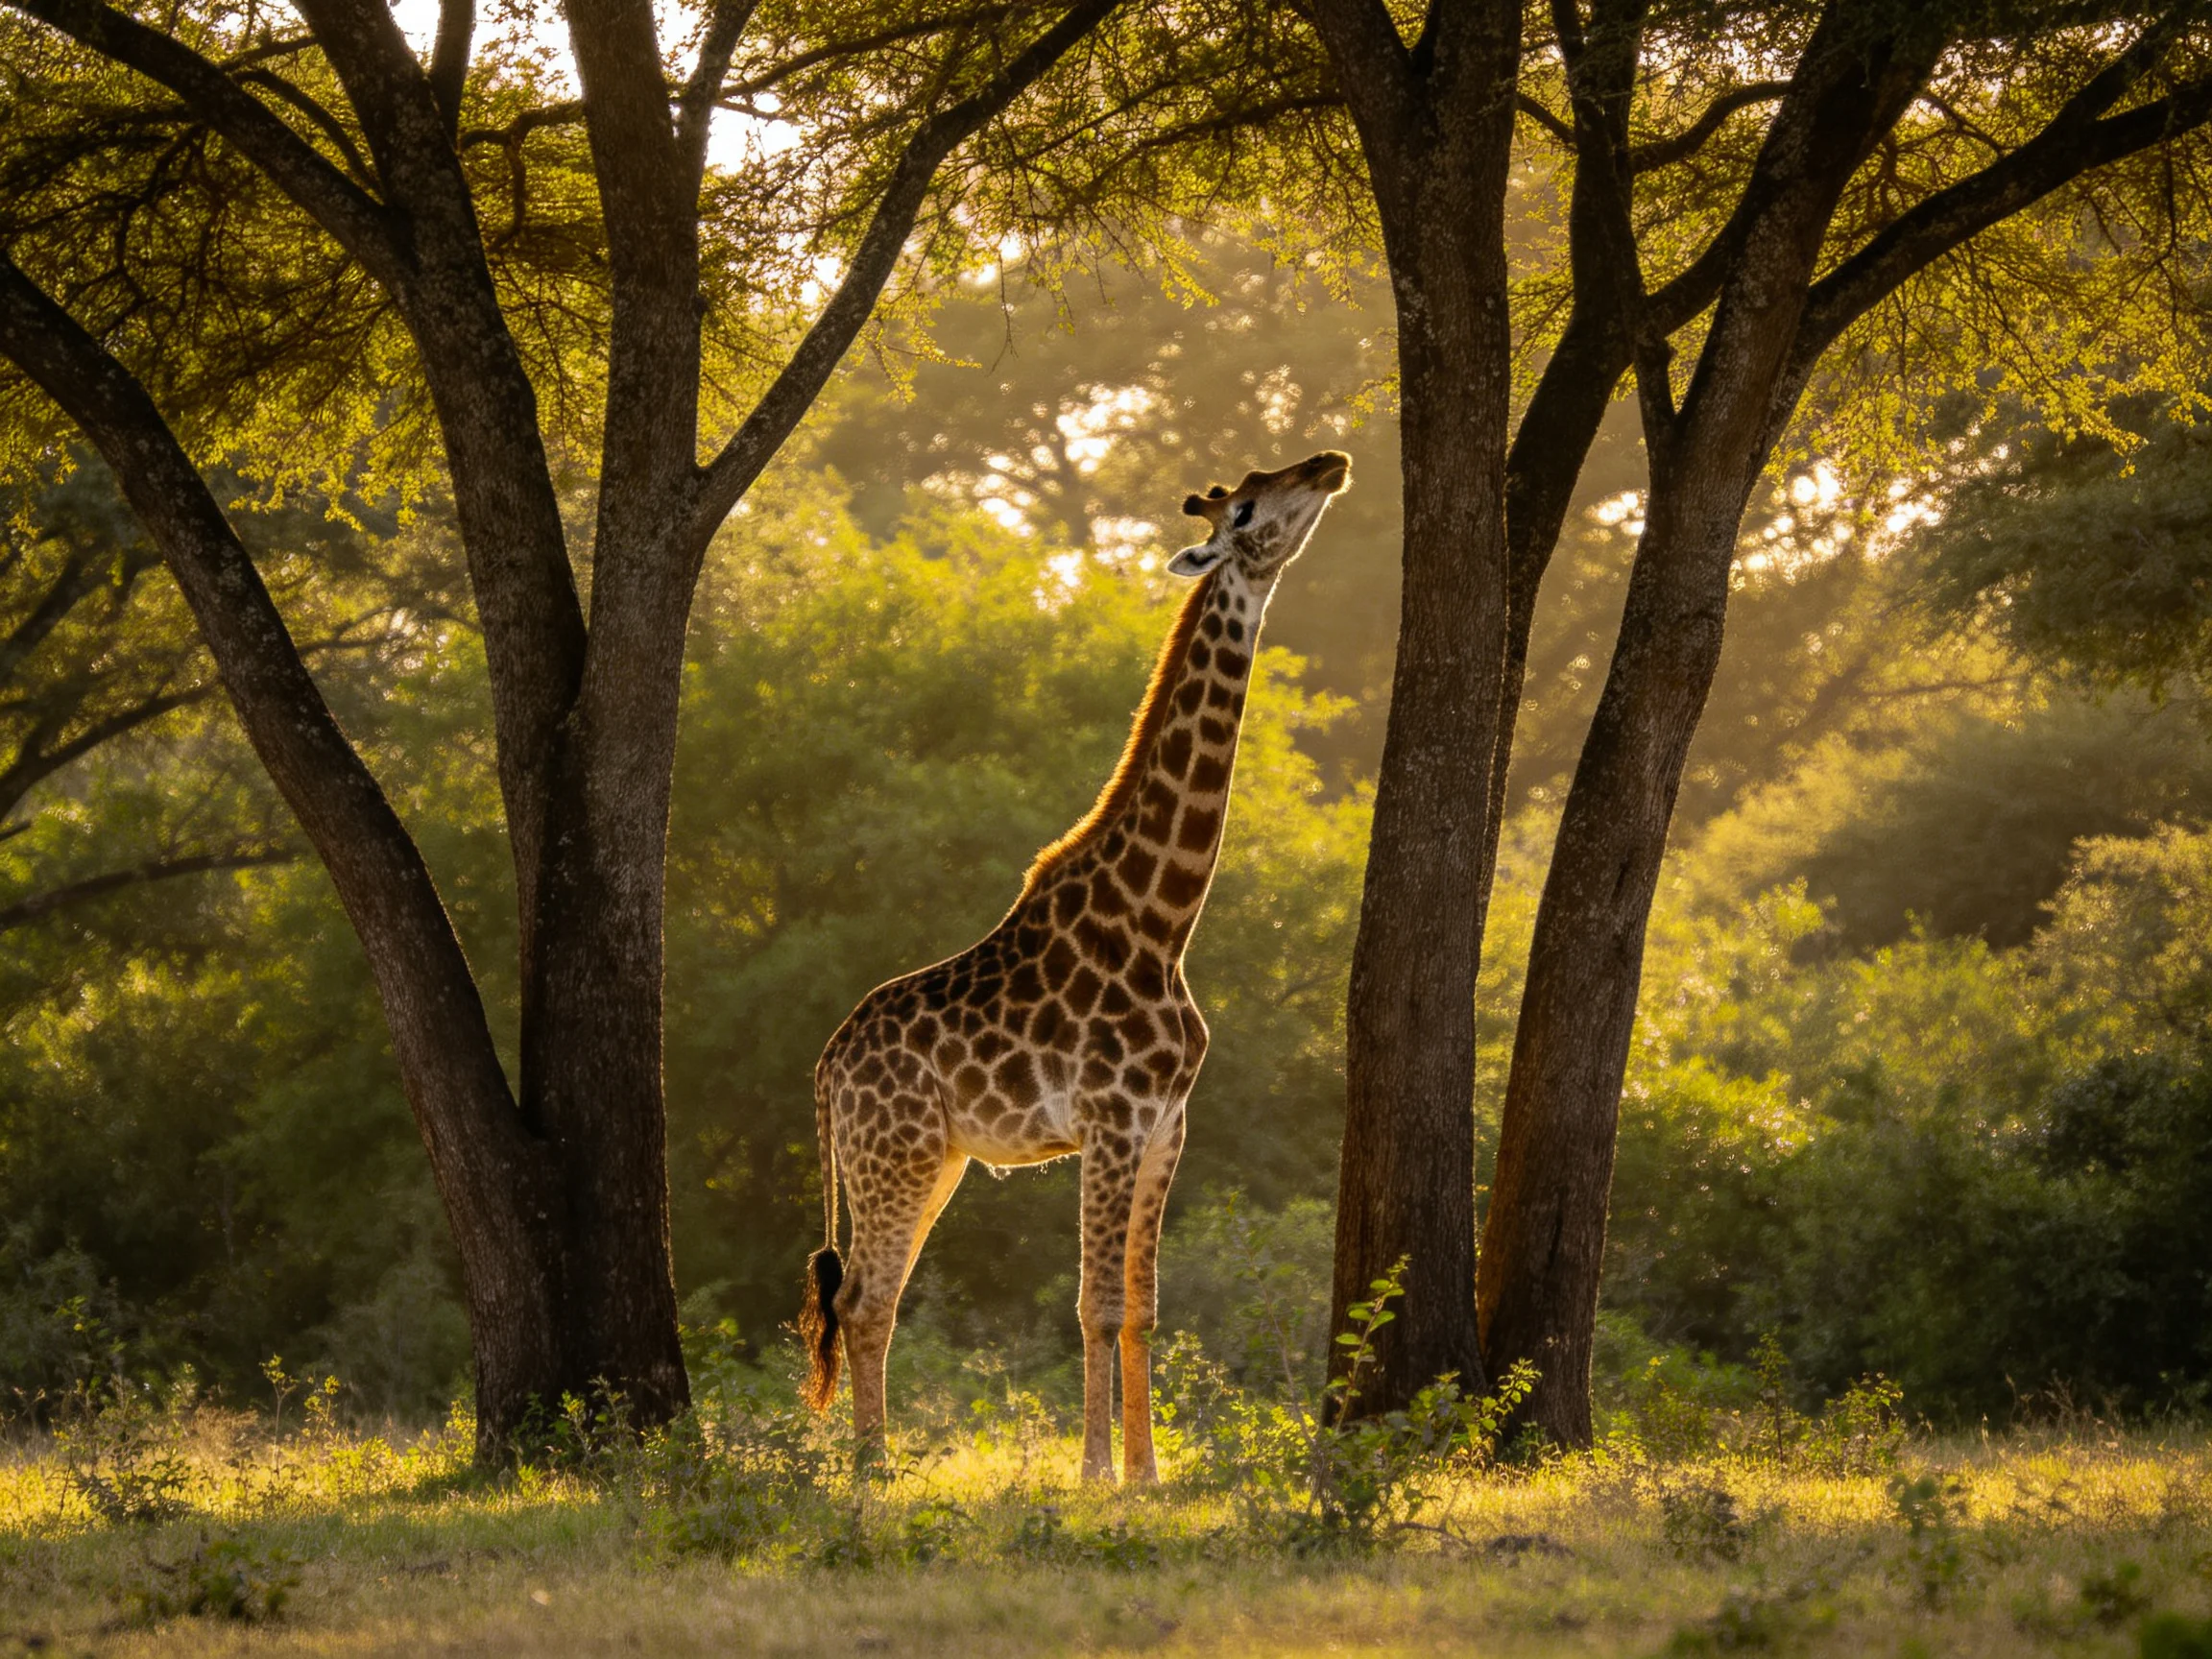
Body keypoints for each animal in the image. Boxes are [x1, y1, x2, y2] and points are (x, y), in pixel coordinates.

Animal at [797, 449, 1352, 1483]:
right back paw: (871, 1471)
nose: (1331, 462)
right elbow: (1094, 1306)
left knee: (867, 1298)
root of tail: (825, 1070)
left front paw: (1148, 1474)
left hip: (935, 1160)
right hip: (894, 1155)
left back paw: (872, 1463)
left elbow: (1143, 1312)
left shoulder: (1168, 1125)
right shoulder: (1109, 1118)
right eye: (1249, 507)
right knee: (861, 1299)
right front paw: (1095, 1474)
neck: (1163, 922)